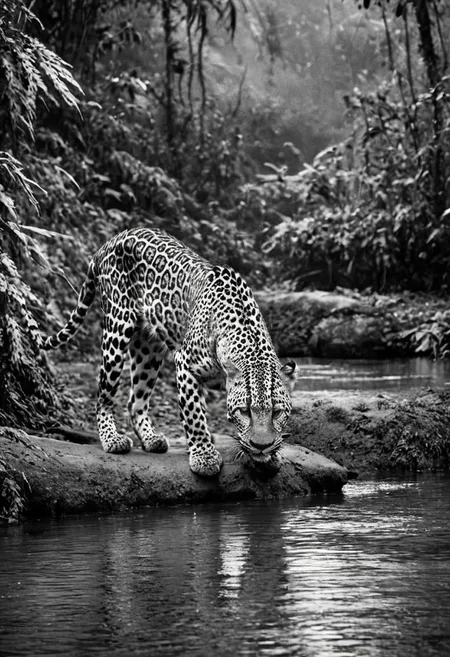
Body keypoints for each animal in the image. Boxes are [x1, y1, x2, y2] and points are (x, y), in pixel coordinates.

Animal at [43, 227, 297, 477]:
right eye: (244, 412)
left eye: (276, 413)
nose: (261, 446)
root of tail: (110, 241)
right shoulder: (185, 365)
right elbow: (194, 414)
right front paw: (204, 456)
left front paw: (268, 456)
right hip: (116, 332)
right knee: (104, 395)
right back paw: (112, 439)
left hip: (148, 350)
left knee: (135, 400)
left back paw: (150, 439)